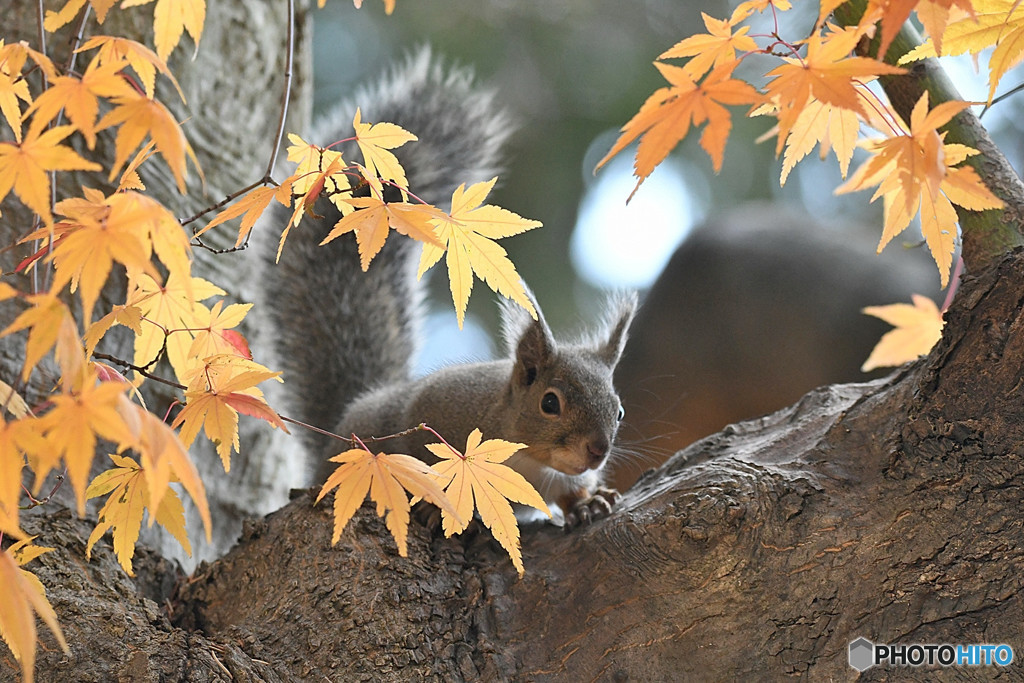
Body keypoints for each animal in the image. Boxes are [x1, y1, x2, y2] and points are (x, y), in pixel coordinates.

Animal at [264, 49, 630, 528]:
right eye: (550, 403)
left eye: (619, 410)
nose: (597, 451)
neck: (531, 458)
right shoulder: (433, 410)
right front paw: (429, 503)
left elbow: (570, 492)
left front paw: (588, 501)